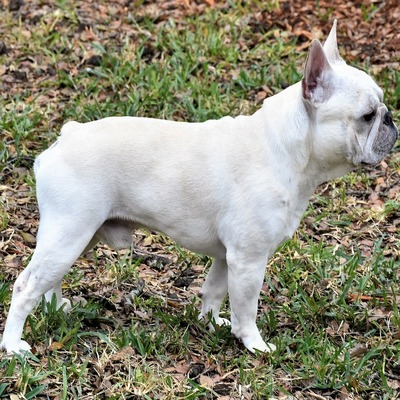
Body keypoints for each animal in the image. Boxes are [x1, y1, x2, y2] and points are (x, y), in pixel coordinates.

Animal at [1, 21, 398, 354]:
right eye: (366, 116)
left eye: (381, 107)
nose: (390, 118)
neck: (285, 150)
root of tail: (65, 136)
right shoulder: (249, 260)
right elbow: (246, 307)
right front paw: (253, 344)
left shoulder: (227, 257)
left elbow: (214, 291)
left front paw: (211, 323)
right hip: (70, 233)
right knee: (25, 287)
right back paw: (14, 346)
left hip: (80, 236)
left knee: (49, 280)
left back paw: (58, 307)